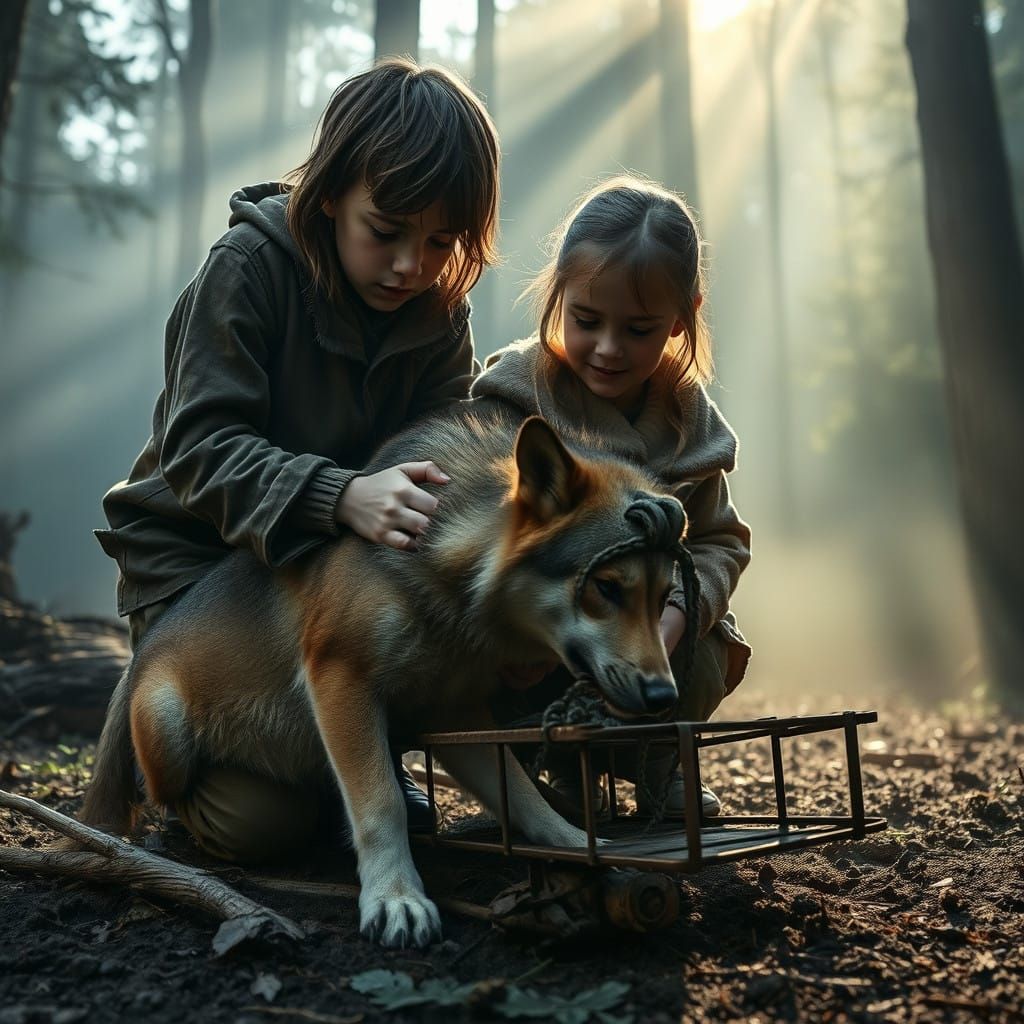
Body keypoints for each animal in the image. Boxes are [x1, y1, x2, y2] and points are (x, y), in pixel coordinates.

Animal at [79, 407, 689, 949]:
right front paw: (397, 899)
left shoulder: (457, 715)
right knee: (162, 795)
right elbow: (380, 804)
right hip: (169, 733)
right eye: (606, 587)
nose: (665, 695)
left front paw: (578, 845)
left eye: (663, 597)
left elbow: (521, 796)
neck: (446, 580)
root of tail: (140, 657)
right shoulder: (340, 678)